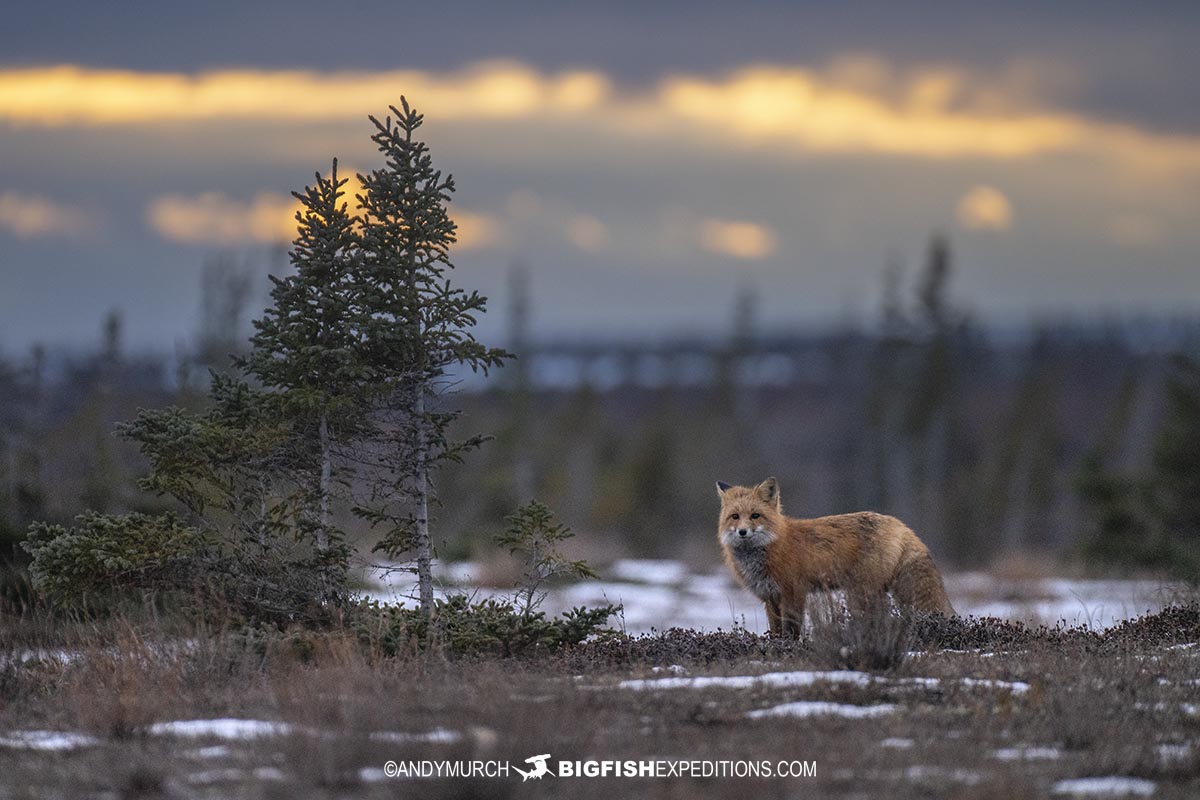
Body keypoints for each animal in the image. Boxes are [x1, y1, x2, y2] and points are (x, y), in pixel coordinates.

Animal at [710, 474, 955, 638]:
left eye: (755, 516)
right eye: (735, 517)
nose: (743, 532)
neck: (769, 548)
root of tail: (901, 525)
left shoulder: (793, 592)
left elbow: (792, 631)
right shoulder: (769, 597)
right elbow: (776, 631)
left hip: (859, 592)